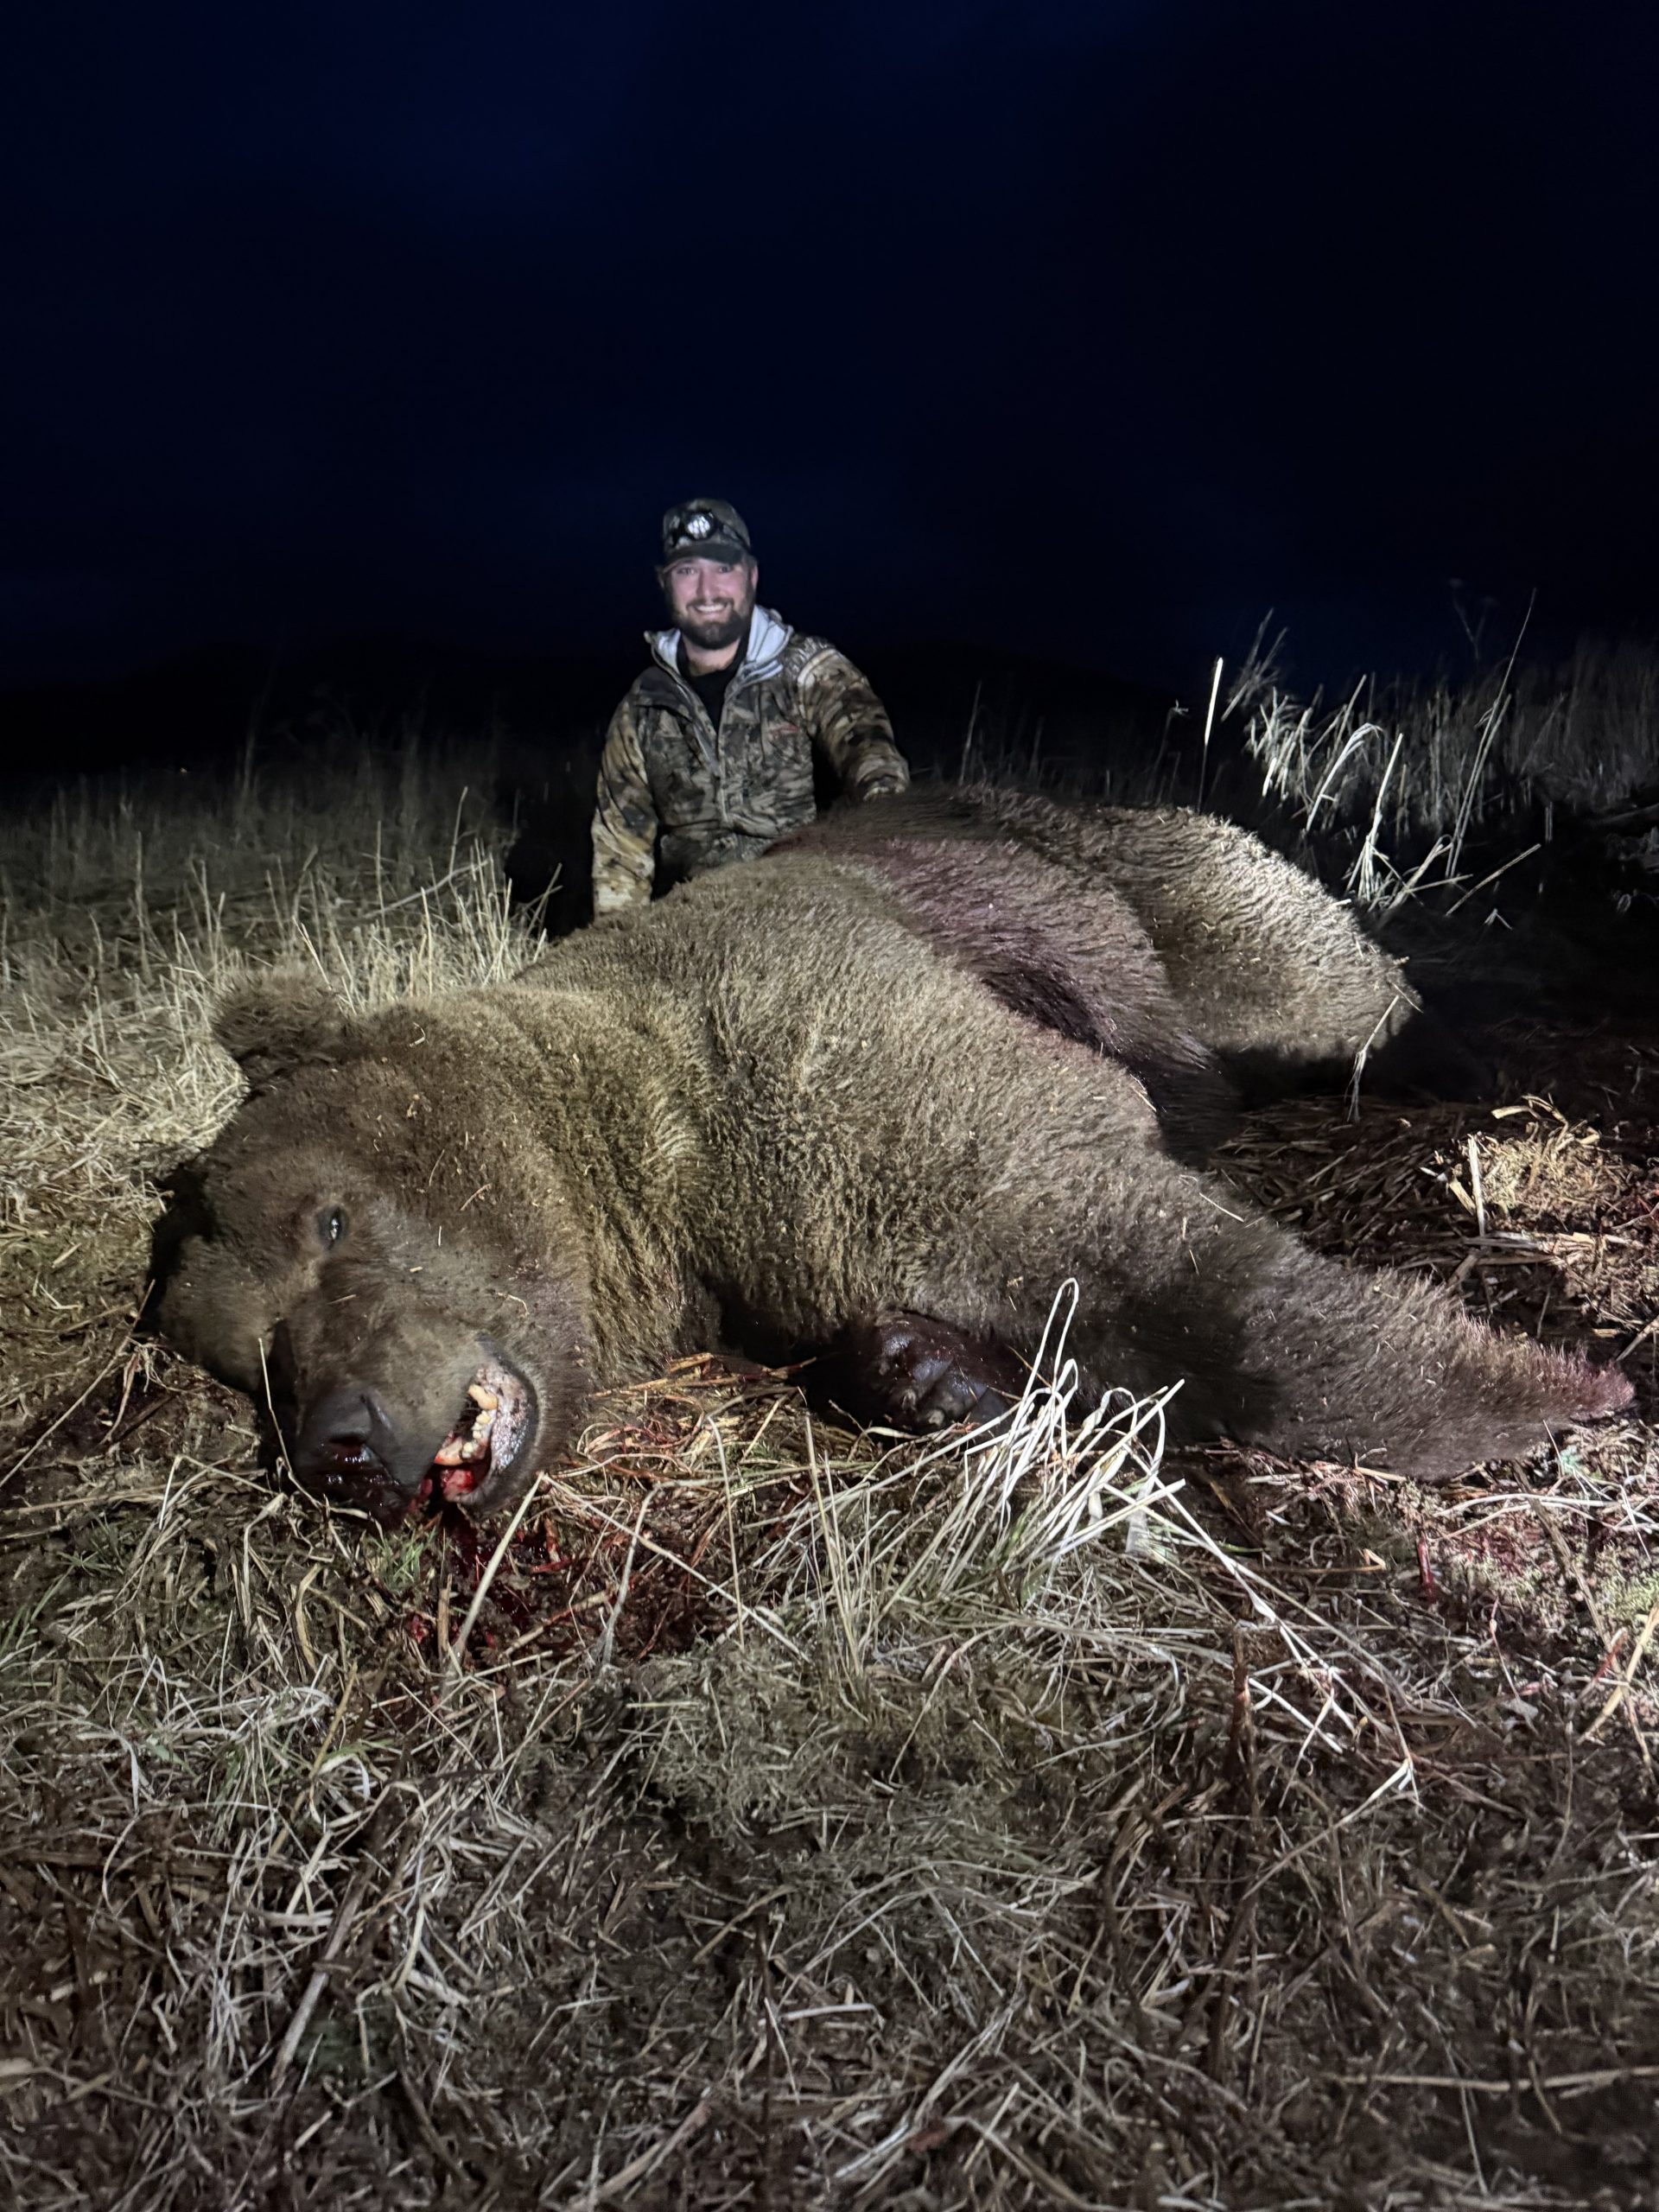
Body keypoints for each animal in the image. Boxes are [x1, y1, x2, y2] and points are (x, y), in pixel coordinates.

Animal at [151, 798, 1631, 1528]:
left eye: (330, 1221)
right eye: (244, 1352)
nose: (341, 1445)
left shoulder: (818, 1054)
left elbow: (1165, 1264)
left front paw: (1540, 1382)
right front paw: (933, 1373)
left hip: (1188, 905)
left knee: (1338, 984)